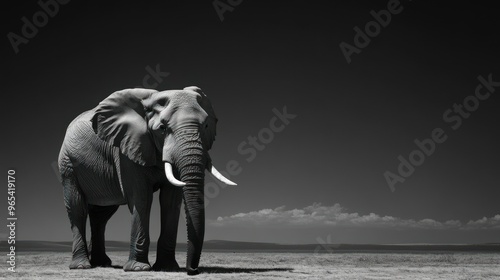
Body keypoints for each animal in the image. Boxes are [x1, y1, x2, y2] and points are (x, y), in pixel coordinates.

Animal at [57, 86, 235, 274]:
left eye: (206, 125)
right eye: (162, 128)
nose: (193, 270)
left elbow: (171, 202)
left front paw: (167, 267)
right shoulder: (126, 150)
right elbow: (141, 199)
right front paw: (138, 269)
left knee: (101, 215)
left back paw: (102, 263)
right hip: (68, 164)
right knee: (77, 208)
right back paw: (81, 266)